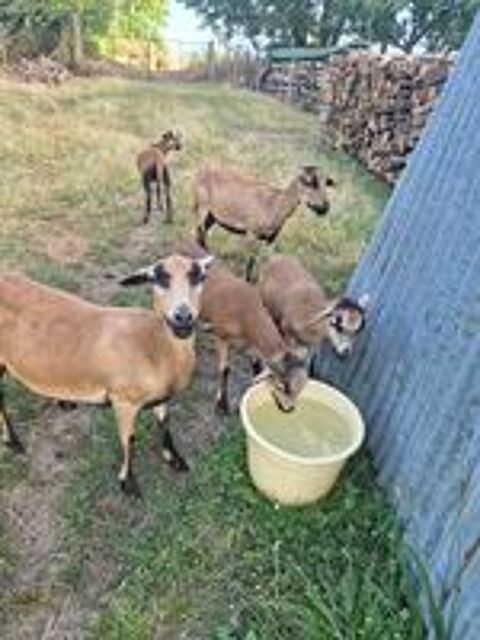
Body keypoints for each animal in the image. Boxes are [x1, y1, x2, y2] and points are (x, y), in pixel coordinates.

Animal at [0, 254, 213, 495]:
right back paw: (13, 441)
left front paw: (175, 460)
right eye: (156, 279)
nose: (183, 317)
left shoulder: (161, 397)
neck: (153, 346)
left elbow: (165, 423)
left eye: (200, 276)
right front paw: (128, 482)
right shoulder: (123, 400)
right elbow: (129, 439)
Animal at [176, 241, 308, 414]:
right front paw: (222, 405)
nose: (289, 409)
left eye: (301, 387)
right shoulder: (222, 337)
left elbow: (256, 365)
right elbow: (225, 369)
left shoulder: (252, 343)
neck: (246, 312)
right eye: (282, 386)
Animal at [192, 164, 335, 281]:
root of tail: (200, 170)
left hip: (213, 216)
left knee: (201, 232)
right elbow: (250, 260)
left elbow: (267, 261)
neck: (275, 205)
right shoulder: (251, 232)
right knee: (200, 232)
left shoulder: (272, 238)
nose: (325, 208)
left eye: (326, 183)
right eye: (309, 183)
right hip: (202, 206)